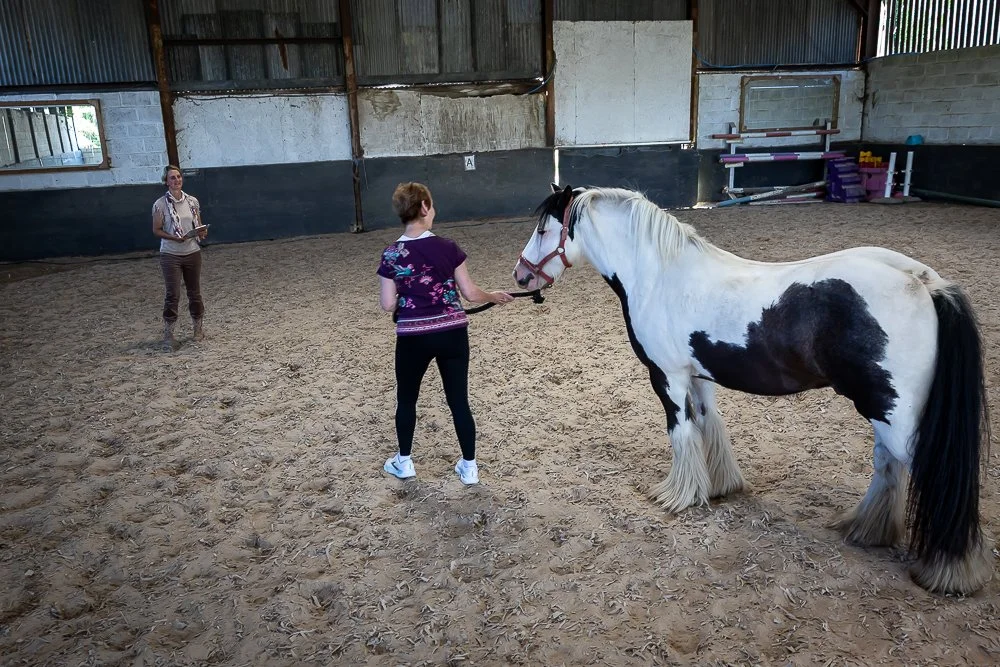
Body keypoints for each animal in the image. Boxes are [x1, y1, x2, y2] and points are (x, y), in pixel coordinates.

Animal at [513, 183, 992, 595]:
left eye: (543, 229)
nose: (520, 276)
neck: (660, 275)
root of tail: (926, 282)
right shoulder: (698, 377)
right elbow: (709, 425)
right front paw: (719, 487)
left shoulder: (667, 376)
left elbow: (681, 432)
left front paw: (677, 496)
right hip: (881, 408)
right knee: (887, 467)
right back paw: (866, 529)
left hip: (895, 413)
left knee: (936, 480)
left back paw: (951, 571)